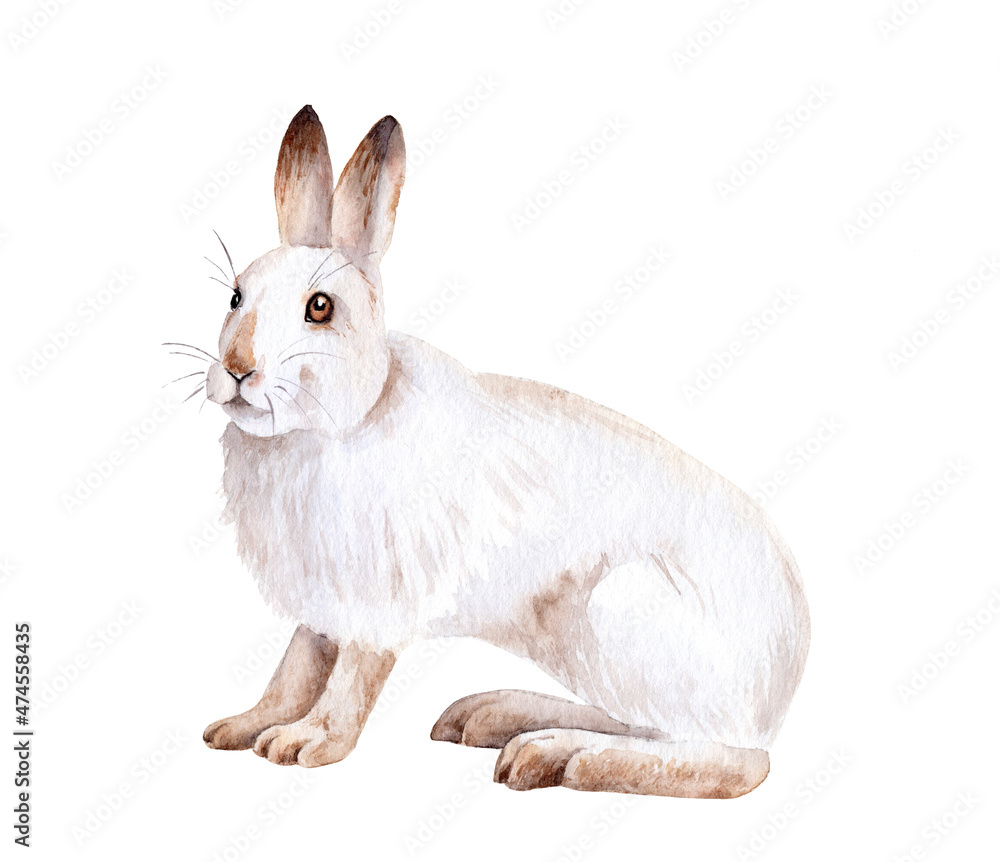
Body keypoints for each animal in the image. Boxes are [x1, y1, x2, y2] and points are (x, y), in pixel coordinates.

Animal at [199, 105, 810, 799]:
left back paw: (559, 757)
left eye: (320, 309)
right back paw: (498, 717)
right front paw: (243, 726)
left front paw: (307, 744)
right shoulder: (322, 603)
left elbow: (351, 678)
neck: (339, 422)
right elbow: (295, 667)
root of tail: (785, 680)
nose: (237, 368)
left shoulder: (377, 600)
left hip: (623, 613)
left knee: (729, 761)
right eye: (235, 296)